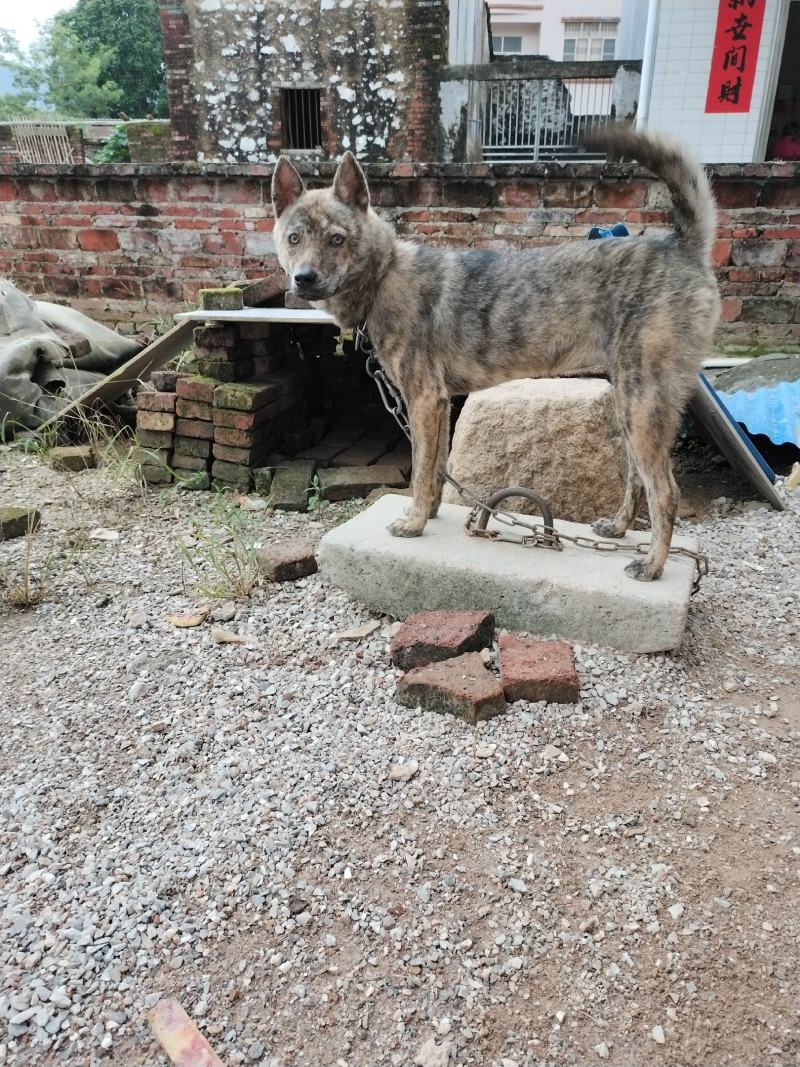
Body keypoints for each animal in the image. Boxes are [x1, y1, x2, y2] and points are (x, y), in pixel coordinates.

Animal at [273, 132, 725, 584]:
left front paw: (413, 523)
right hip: (633, 404)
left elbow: (420, 470)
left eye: (336, 238)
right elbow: (435, 470)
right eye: (294, 239)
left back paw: (653, 565)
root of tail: (682, 246)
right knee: (637, 480)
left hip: (642, 404)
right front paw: (429, 514)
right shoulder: (439, 404)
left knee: (665, 491)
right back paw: (618, 528)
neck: (385, 274)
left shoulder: (423, 400)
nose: (304, 279)